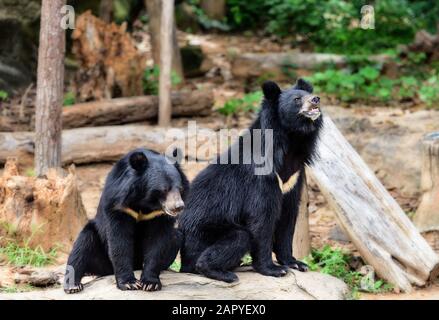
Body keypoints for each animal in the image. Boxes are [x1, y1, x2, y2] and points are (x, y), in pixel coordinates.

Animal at [64, 149, 189, 294]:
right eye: (164, 189)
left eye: (180, 188)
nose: (178, 207)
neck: (145, 201)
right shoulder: (119, 205)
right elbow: (119, 240)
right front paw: (129, 283)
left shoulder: (158, 214)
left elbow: (157, 241)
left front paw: (150, 283)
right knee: (82, 245)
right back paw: (74, 285)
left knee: (175, 236)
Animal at [179, 79, 324, 282]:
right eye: (297, 99)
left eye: (309, 95)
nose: (316, 99)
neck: (289, 143)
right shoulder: (261, 177)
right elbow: (261, 218)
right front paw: (274, 269)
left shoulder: (293, 178)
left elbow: (287, 219)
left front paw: (295, 263)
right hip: (202, 234)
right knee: (239, 237)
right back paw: (222, 272)